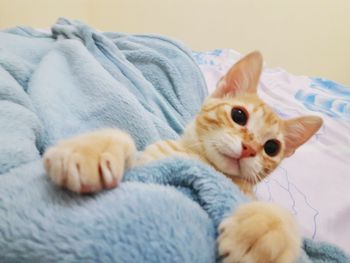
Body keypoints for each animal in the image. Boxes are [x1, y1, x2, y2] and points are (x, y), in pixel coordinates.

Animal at [41, 52, 322, 263]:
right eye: (239, 115)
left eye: (272, 147)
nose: (249, 149)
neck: (201, 161)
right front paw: (89, 150)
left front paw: (263, 232)